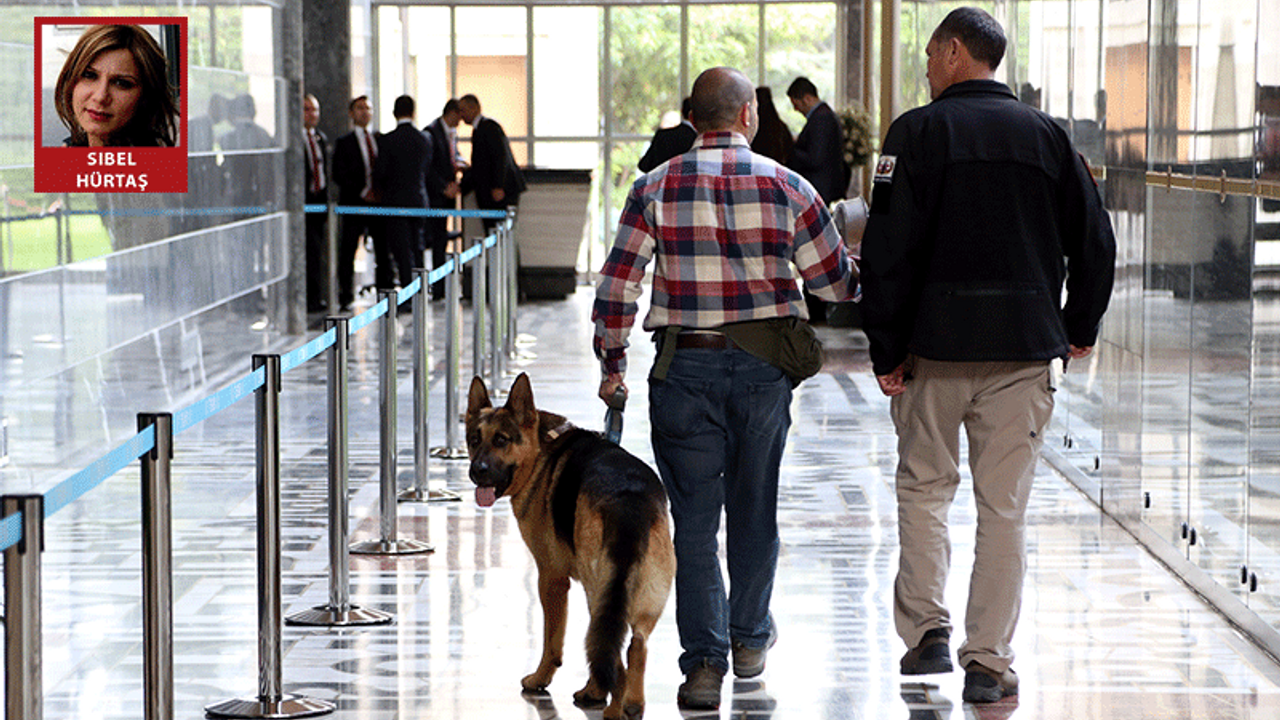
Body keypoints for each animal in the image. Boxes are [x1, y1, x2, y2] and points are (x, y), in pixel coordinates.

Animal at [465, 371, 675, 712]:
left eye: (501, 440)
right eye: (473, 440)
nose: (476, 471)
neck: (540, 449)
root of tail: (628, 499)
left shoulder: (551, 579)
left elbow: (552, 640)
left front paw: (540, 679)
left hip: (597, 589)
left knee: (612, 658)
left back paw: (607, 702)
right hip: (645, 597)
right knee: (635, 647)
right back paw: (630, 702)